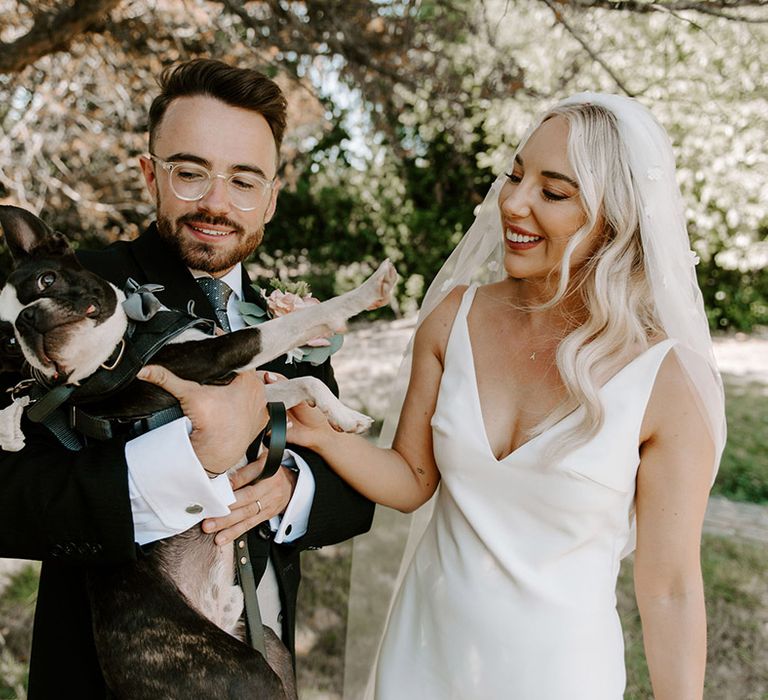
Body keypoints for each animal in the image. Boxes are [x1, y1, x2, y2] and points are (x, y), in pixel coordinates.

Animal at [0, 205, 396, 696]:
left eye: (47, 280)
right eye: (8, 338)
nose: (27, 321)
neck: (115, 353)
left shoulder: (239, 390)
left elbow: (305, 381)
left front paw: (345, 417)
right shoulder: (215, 358)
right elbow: (289, 325)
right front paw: (367, 290)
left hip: (270, 646)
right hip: (244, 673)